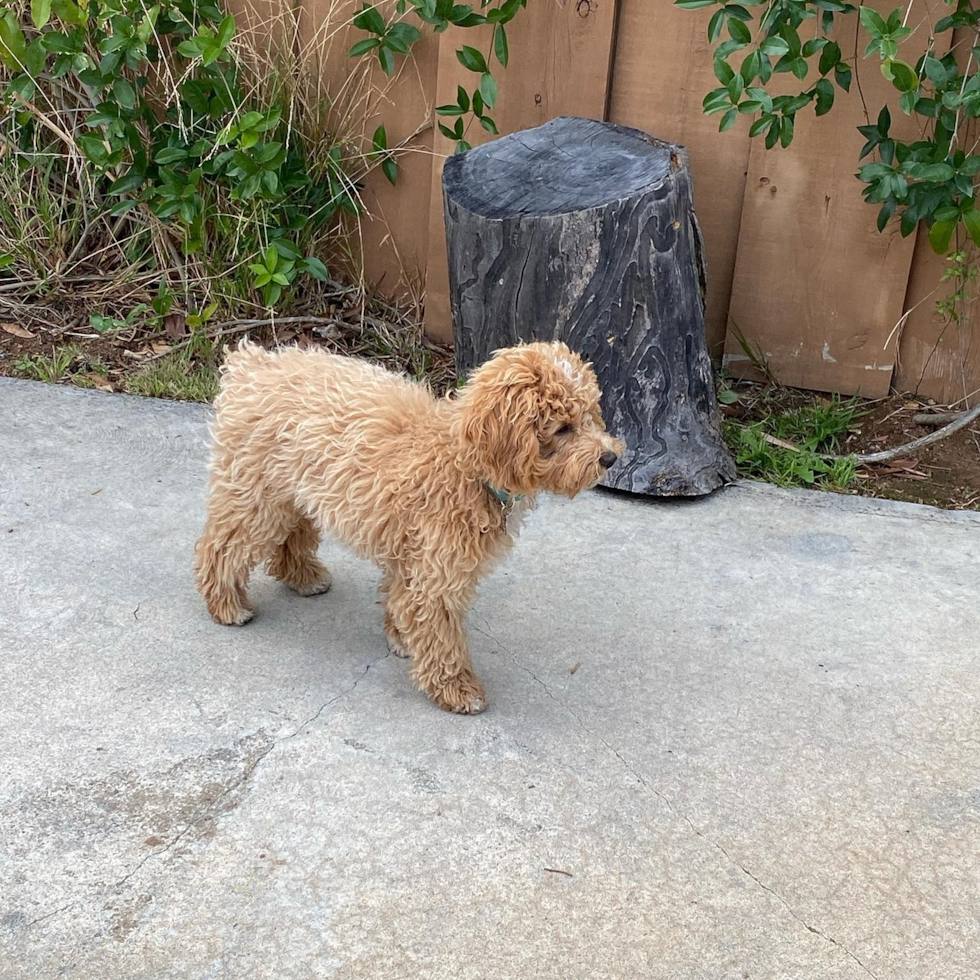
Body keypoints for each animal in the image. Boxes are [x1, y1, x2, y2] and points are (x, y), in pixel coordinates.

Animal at [193, 340, 620, 716]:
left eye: (590, 415)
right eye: (563, 428)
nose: (610, 458)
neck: (464, 463)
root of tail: (254, 366)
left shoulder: (413, 557)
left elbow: (401, 601)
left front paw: (400, 639)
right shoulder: (437, 574)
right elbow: (441, 635)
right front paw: (456, 689)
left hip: (293, 495)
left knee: (291, 535)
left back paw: (302, 576)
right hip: (256, 499)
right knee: (221, 547)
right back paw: (227, 605)